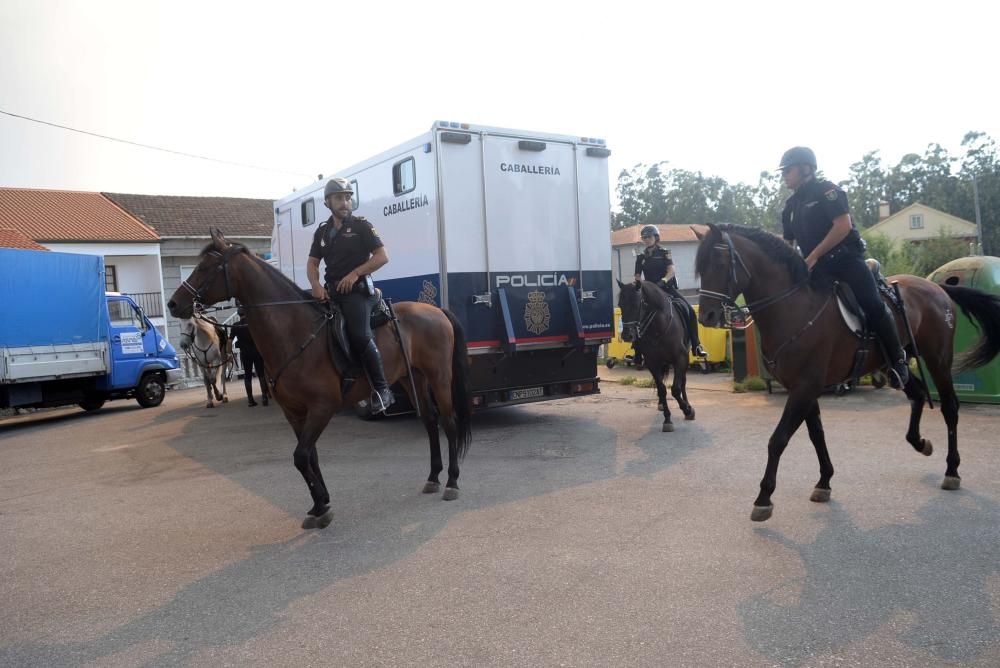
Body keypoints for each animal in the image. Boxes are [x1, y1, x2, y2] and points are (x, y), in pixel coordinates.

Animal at [168, 227, 472, 528]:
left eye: (205, 267)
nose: (173, 304)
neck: (294, 333)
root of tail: (436, 310)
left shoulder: (322, 407)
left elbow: (301, 456)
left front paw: (322, 508)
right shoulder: (294, 412)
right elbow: (309, 456)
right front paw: (319, 503)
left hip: (439, 377)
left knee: (449, 421)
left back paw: (452, 481)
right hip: (414, 379)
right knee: (430, 422)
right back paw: (433, 477)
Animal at [616, 278, 696, 430]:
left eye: (636, 304)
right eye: (620, 305)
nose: (627, 335)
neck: (659, 328)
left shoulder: (681, 358)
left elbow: (676, 389)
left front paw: (687, 409)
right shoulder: (652, 362)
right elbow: (662, 389)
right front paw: (667, 419)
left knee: (682, 382)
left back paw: (688, 407)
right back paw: (662, 404)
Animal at [692, 224, 1000, 520]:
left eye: (719, 263)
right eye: (700, 267)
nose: (706, 316)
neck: (794, 307)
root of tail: (937, 287)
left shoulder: (805, 386)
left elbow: (778, 439)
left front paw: (764, 498)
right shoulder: (802, 388)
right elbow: (816, 434)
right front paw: (824, 481)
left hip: (938, 360)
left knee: (949, 407)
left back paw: (952, 470)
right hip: (896, 362)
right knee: (918, 393)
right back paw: (920, 442)